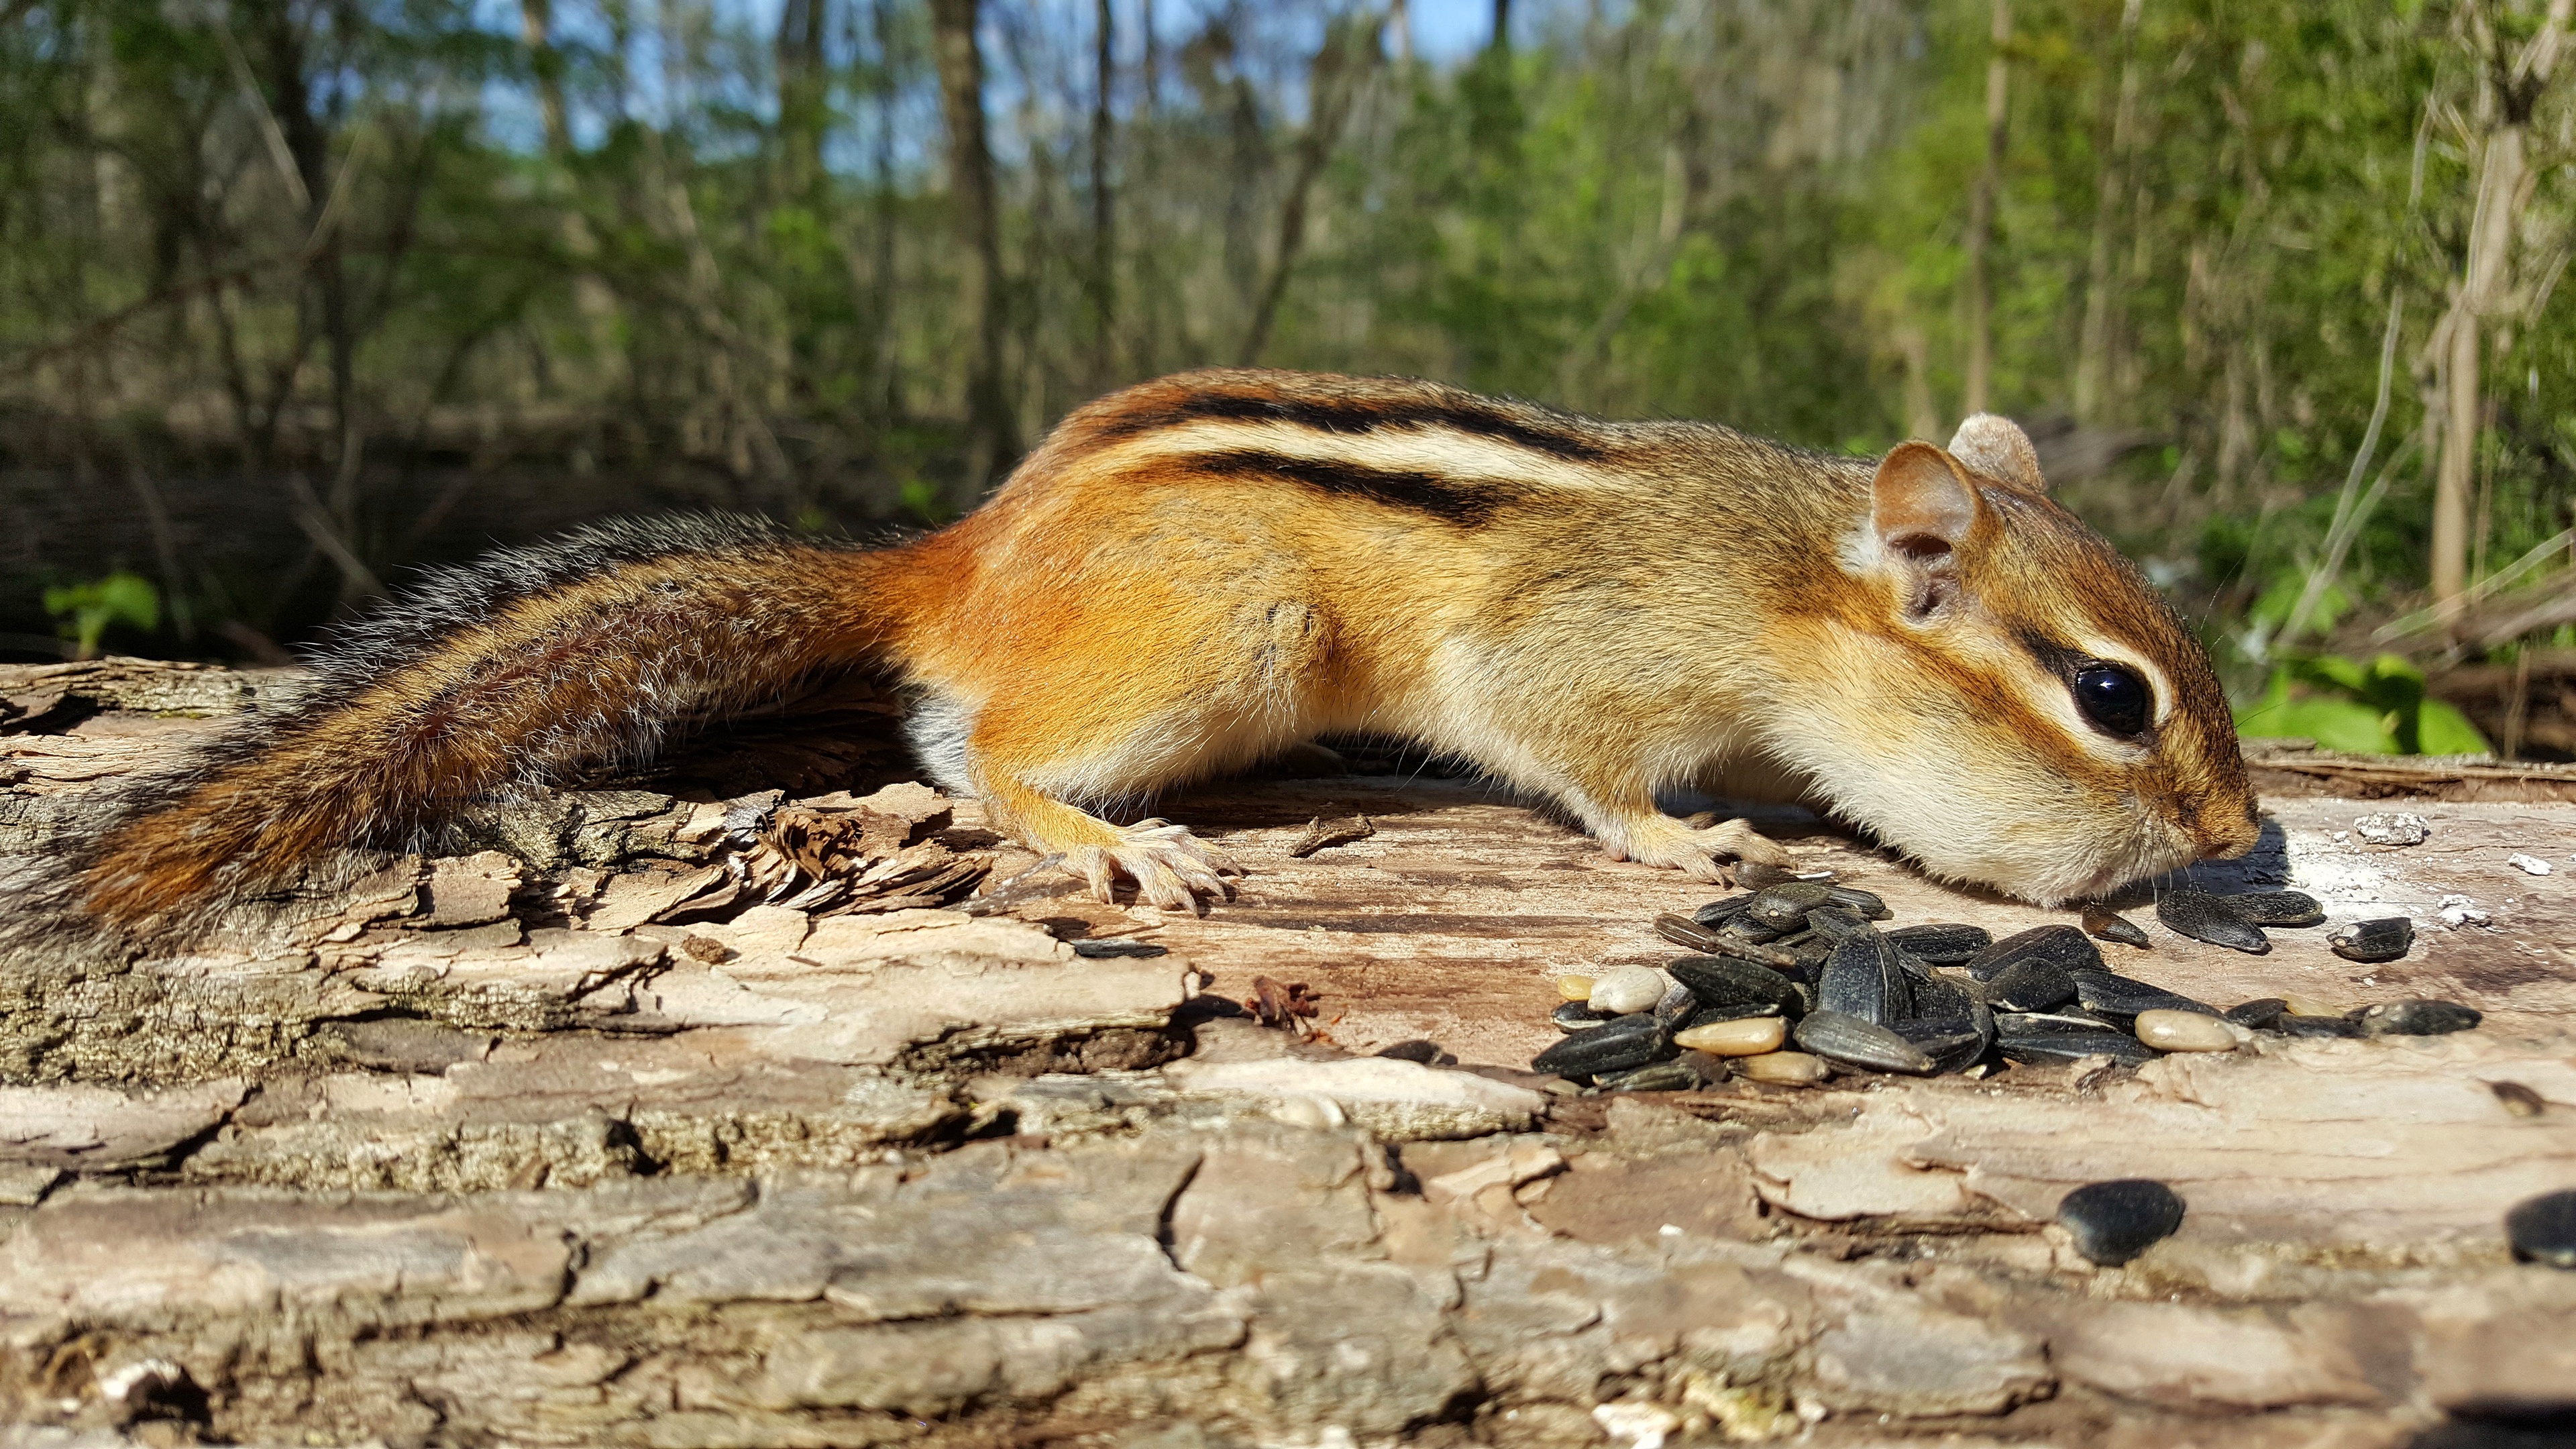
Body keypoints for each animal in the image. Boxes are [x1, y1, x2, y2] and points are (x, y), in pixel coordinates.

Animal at [23, 368, 2256, 948]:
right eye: (2112, 697)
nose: (2242, 840)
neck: (1786, 589)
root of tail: (956, 559)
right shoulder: (1578, 658)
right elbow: (1576, 759)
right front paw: (1676, 845)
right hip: (1216, 640)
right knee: (965, 749)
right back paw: (1111, 840)